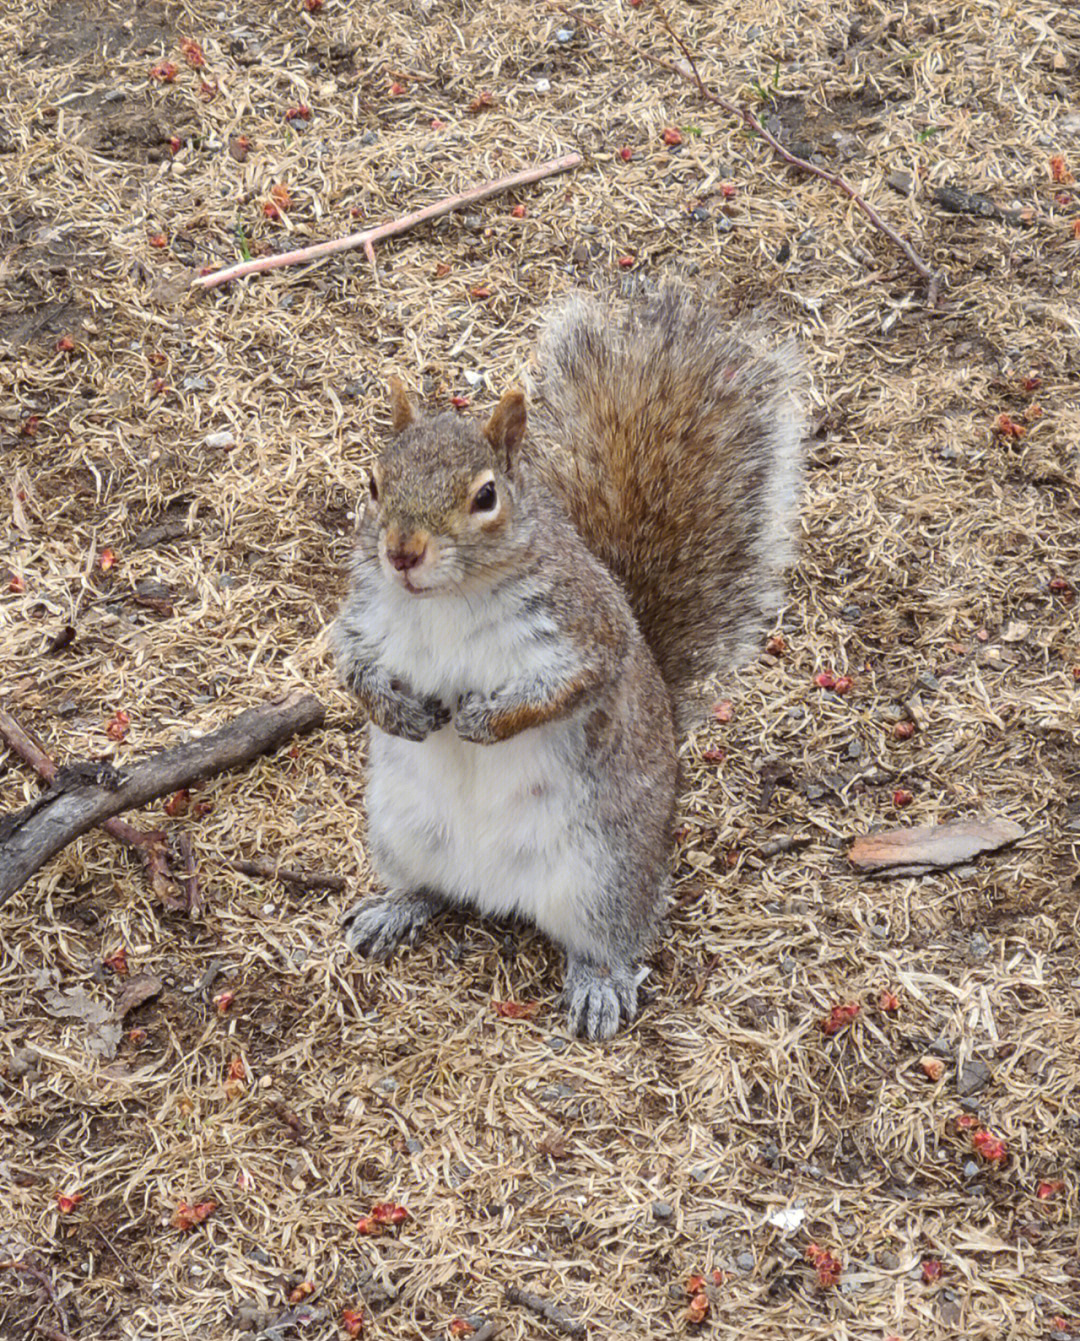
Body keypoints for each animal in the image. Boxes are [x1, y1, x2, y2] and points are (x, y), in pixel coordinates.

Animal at [328, 280, 799, 1035]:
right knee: (430, 889)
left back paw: (598, 984)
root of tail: (494, 890)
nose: (401, 551)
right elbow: (350, 666)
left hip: (601, 871)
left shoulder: (584, 628)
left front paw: (484, 721)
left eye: (486, 496)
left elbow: (570, 684)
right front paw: (397, 711)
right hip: (402, 834)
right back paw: (394, 908)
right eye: (373, 482)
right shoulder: (365, 615)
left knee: (608, 937)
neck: (445, 600)